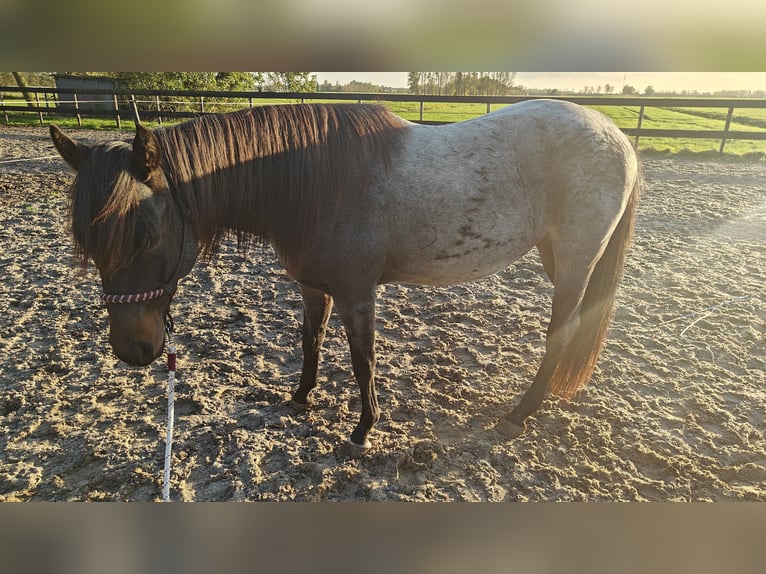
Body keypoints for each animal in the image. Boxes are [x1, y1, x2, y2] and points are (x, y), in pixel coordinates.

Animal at [49, 100, 640, 450]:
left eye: (146, 232)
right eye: (89, 244)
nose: (133, 350)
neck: (316, 181)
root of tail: (618, 137)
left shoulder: (359, 293)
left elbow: (362, 360)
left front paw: (363, 429)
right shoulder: (315, 287)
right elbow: (310, 341)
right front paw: (300, 398)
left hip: (575, 259)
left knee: (561, 333)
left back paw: (520, 414)